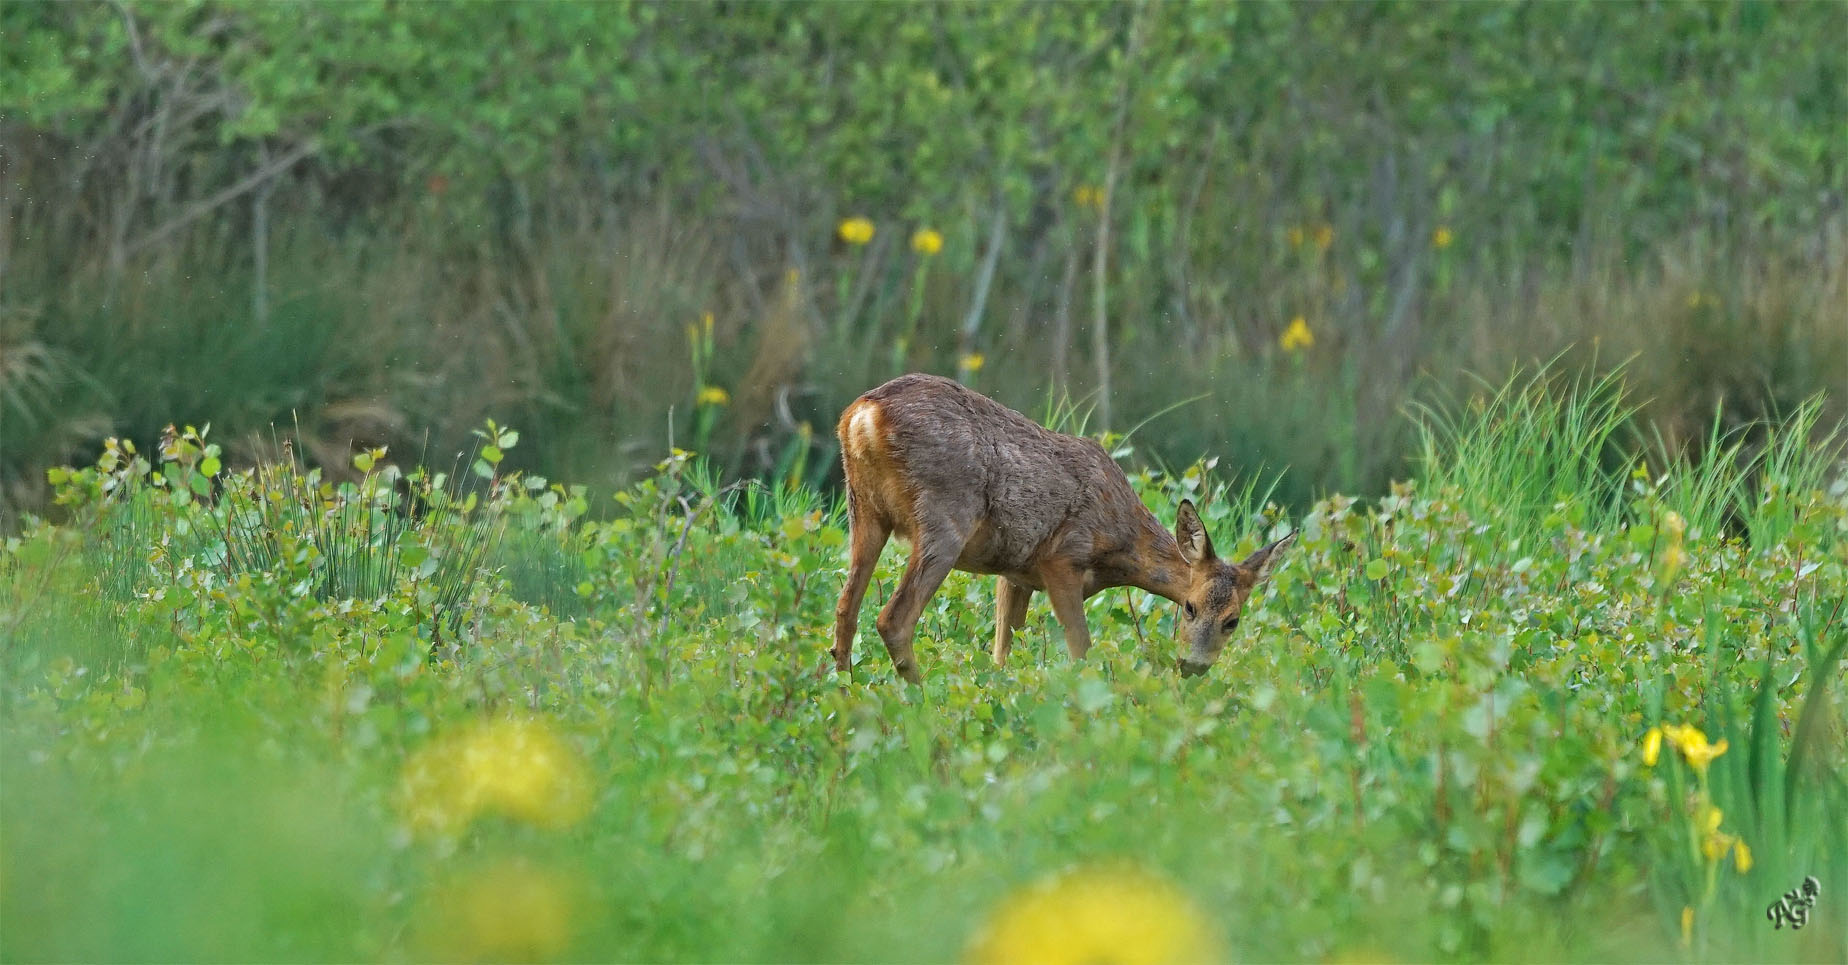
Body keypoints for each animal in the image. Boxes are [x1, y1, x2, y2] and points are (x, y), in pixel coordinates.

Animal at [831, 371, 1293, 680]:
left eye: (1233, 621)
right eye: (1189, 607)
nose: (1193, 668)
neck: (1121, 546)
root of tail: (862, 416)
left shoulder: (1014, 574)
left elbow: (1003, 652)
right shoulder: (1062, 559)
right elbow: (1081, 651)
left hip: (864, 511)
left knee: (846, 609)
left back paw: (843, 690)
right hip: (944, 519)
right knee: (893, 618)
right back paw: (919, 699)